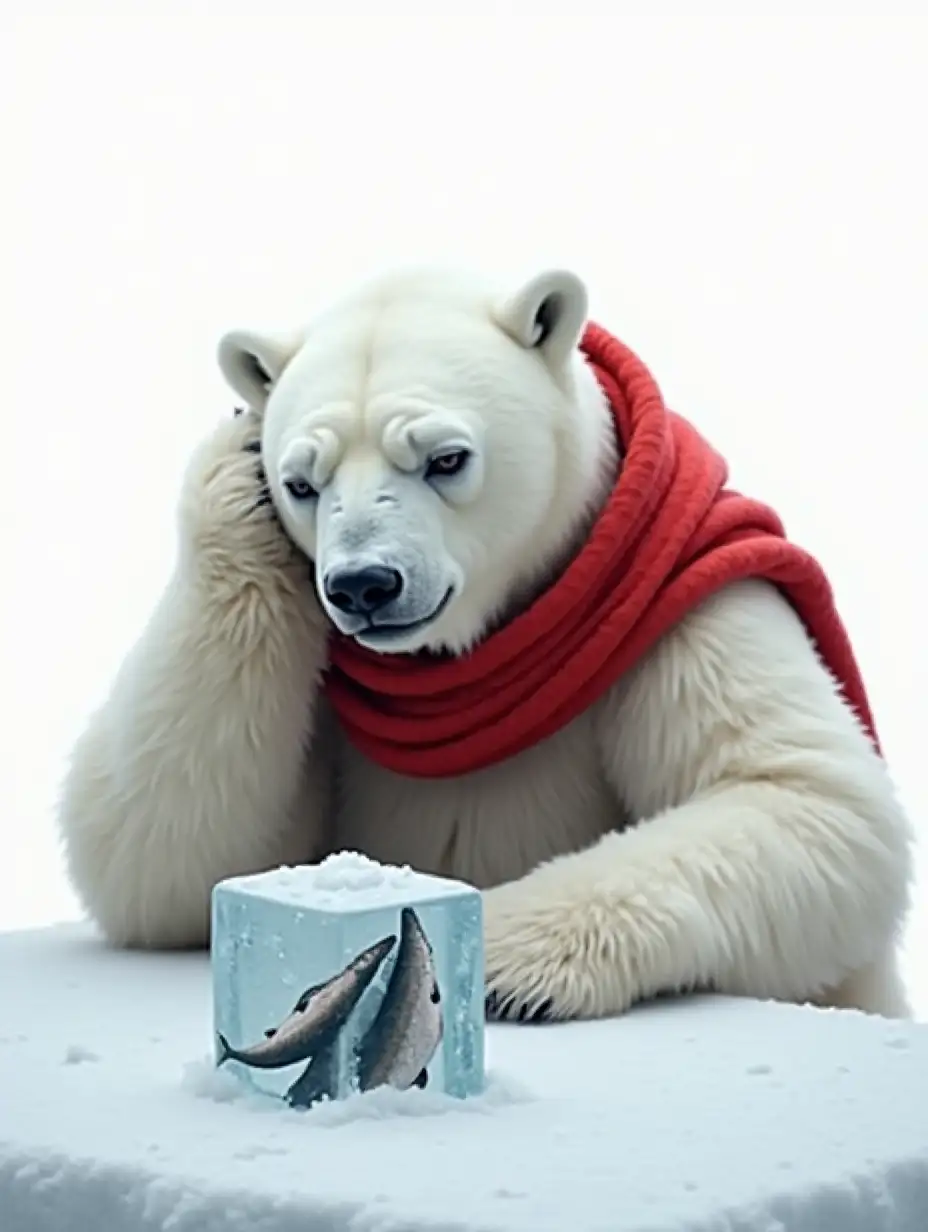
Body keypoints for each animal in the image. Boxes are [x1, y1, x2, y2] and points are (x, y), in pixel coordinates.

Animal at [59, 267, 911, 1020]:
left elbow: (803, 796)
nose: (364, 585)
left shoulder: (690, 597)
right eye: (300, 483)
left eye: (446, 459)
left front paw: (499, 957)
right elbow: (160, 851)